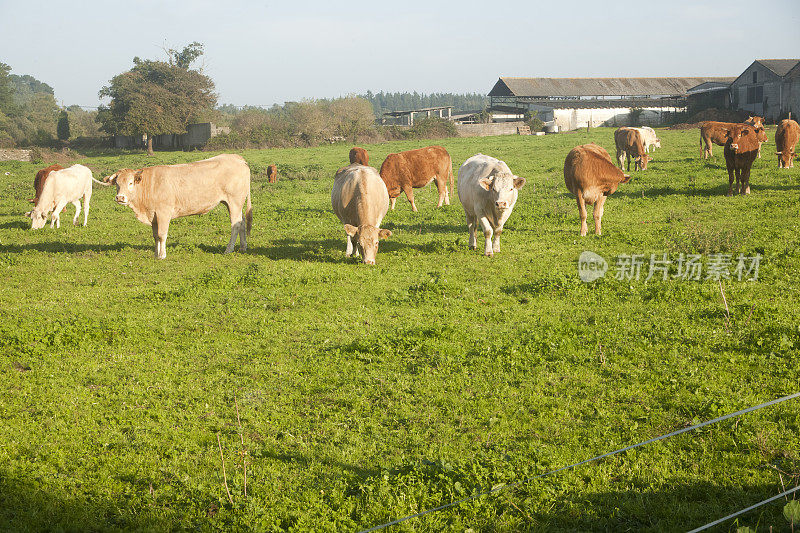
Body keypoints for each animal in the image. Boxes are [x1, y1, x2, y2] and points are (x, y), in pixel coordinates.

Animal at [104, 154, 252, 260]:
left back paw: (228, 249)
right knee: (242, 222)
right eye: (117, 183)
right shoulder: (154, 216)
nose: (120, 198)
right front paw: (156, 254)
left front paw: (162, 255)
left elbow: (162, 235)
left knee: (235, 225)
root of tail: (237, 158)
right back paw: (243, 247)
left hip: (234, 201)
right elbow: (155, 236)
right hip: (235, 203)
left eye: (130, 183)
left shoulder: (163, 213)